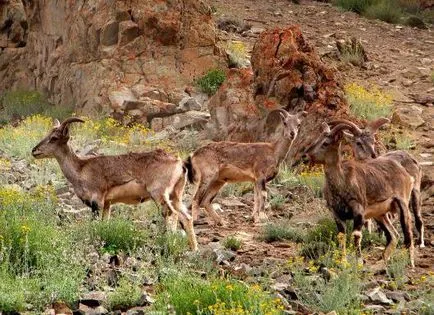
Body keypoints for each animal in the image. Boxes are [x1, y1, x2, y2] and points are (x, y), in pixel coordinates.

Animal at [31, 118, 198, 252]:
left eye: (54, 138)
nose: (34, 150)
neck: (81, 169)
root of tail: (180, 164)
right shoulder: (107, 204)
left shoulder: (97, 201)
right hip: (176, 195)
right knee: (186, 217)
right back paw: (194, 249)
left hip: (159, 193)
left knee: (171, 214)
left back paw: (169, 244)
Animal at [304, 122, 416, 268]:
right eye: (317, 139)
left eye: (325, 143)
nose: (306, 156)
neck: (342, 182)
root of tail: (404, 173)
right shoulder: (336, 213)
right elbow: (341, 236)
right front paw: (343, 262)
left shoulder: (358, 210)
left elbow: (356, 235)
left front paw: (359, 262)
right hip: (380, 214)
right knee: (393, 235)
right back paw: (383, 260)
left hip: (402, 203)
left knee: (407, 233)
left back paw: (410, 263)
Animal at [328, 117, 424, 248]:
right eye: (358, 143)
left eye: (372, 141)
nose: (373, 155)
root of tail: (411, 158)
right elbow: (369, 221)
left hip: (414, 191)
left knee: (418, 218)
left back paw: (421, 243)